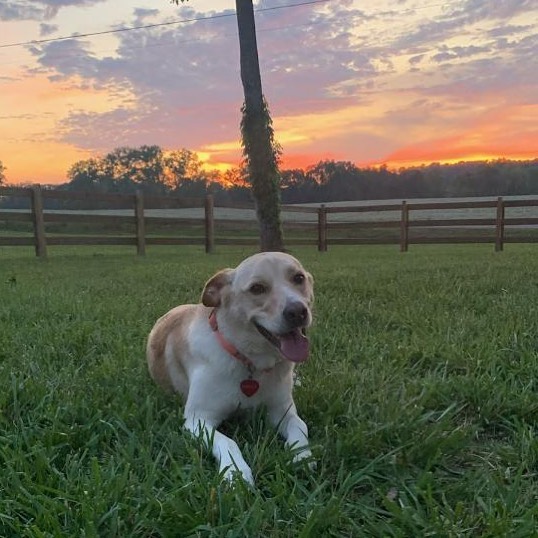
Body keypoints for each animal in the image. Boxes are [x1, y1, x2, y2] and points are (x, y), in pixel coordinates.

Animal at [146, 251, 314, 485]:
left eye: (298, 278)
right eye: (257, 288)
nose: (298, 312)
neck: (249, 360)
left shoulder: (282, 412)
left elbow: (300, 427)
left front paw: (302, 456)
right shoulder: (198, 419)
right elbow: (228, 442)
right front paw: (236, 473)